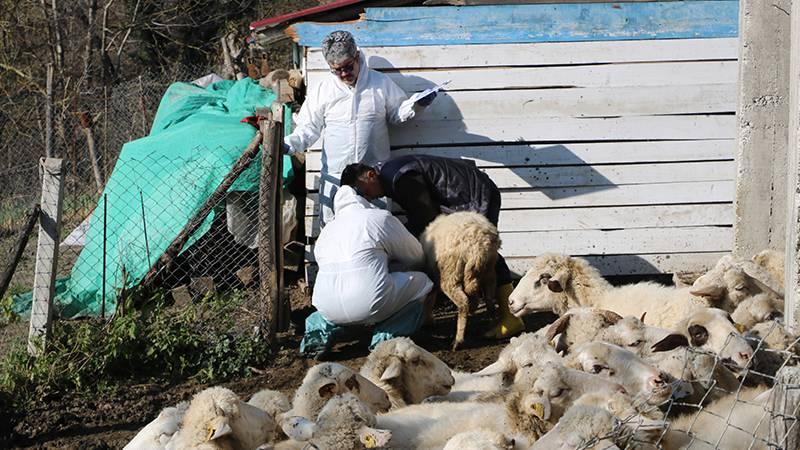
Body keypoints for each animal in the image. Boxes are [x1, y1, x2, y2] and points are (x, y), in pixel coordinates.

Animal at [418, 212, 500, 352]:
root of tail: (478, 248)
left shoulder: (432, 275)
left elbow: (429, 298)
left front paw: (427, 321)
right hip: (489, 271)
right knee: (489, 301)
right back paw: (494, 328)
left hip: (451, 274)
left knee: (463, 303)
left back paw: (458, 341)